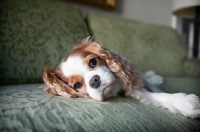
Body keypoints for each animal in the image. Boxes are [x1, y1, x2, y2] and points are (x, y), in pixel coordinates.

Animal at [42, 36, 200, 118]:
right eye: (77, 85)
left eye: (93, 62)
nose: (94, 81)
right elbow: (158, 96)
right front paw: (186, 103)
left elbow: (153, 88)